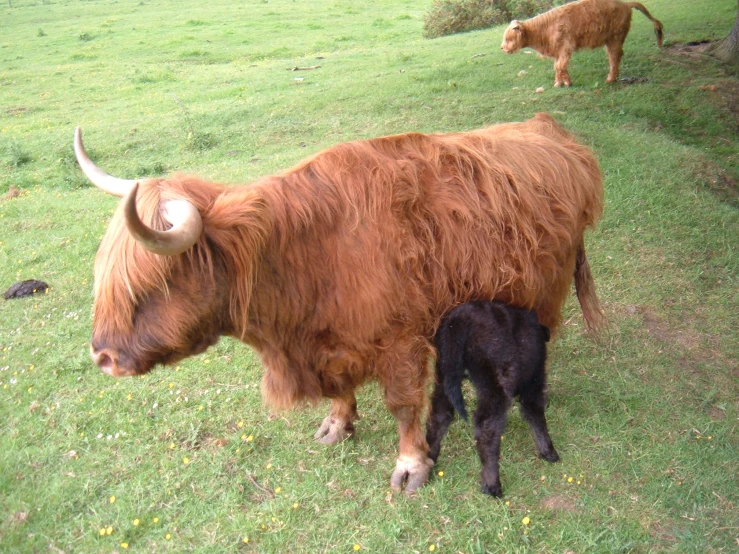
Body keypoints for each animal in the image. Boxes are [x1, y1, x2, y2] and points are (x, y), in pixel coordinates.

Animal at [76, 113, 608, 492]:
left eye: (154, 282)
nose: (102, 356)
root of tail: (553, 132)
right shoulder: (330, 343)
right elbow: (341, 388)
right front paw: (336, 424)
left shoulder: (400, 340)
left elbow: (402, 405)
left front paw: (412, 465)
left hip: (543, 290)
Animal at [502, 0, 664, 87]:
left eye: (509, 38)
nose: (502, 48)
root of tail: (626, 3)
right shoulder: (558, 51)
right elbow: (558, 67)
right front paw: (558, 83)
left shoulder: (565, 48)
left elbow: (560, 66)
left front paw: (566, 84)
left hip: (615, 38)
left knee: (614, 56)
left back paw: (610, 79)